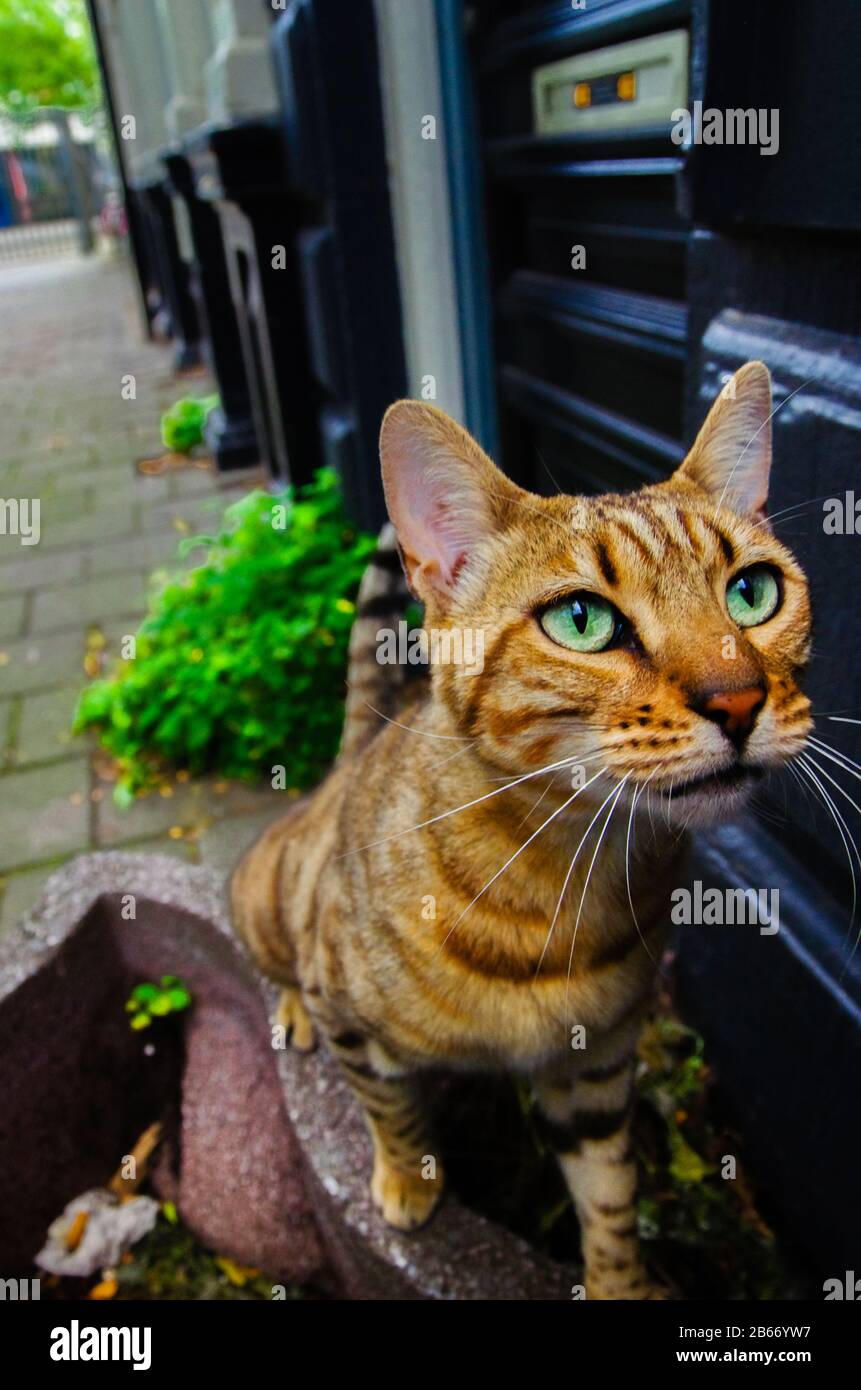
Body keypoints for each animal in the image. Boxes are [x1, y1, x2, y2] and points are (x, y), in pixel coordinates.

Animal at [232, 364, 812, 1295]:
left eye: (752, 592)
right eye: (581, 620)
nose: (738, 699)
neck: (559, 878)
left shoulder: (597, 1070)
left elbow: (610, 1197)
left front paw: (618, 1283)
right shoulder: (352, 1017)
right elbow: (389, 1108)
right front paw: (407, 1181)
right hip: (263, 901)